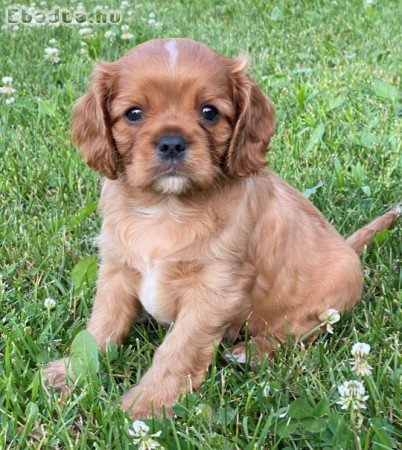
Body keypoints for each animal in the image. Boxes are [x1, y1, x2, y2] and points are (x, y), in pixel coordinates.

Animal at [44, 37, 398, 418]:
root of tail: (349, 247)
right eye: (134, 114)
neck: (166, 208)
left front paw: (151, 400)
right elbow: (101, 326)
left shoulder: (215, 289)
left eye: (209, 112)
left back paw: (251, 352)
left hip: (330, 299)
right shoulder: (117, 269)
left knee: (298, 330)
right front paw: (70, 372)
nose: (172, 142)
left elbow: (179, 348)